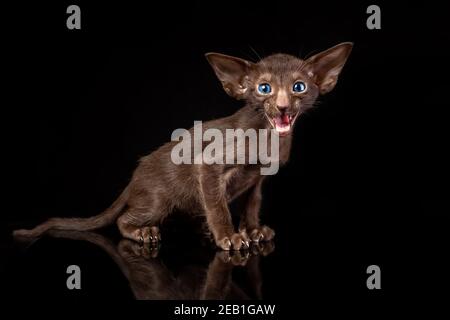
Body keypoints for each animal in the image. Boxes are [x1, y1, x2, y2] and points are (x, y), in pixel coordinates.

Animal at [12, 42, 354, 250]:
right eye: (264, 88)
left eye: (299, 87)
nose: (282, 107)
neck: (268, 138)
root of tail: (134, 178)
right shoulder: (209, 164)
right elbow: (217, 207)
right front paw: (229, 236)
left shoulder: (259, 178)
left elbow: (253, 204)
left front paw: (253, 230)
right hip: (157, 202)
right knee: (124, 219)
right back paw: (142, 232)